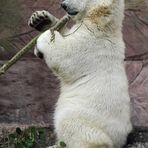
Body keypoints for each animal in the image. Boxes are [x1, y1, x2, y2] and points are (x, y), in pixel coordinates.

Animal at [28, 0, 132, 147]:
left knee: (72, 126)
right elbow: (67, 33)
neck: (103, 23)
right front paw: (41, 19)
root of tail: (121, 139)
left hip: (87, 118)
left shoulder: (92, 43)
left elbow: (65, 56)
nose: (63, 5)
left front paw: (45, 37)